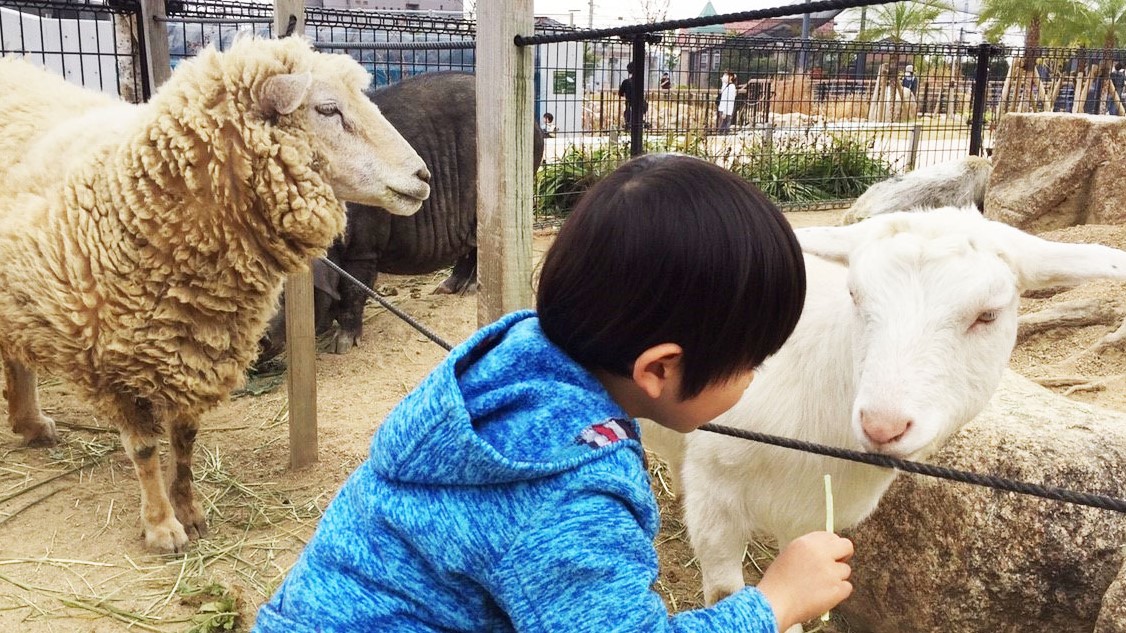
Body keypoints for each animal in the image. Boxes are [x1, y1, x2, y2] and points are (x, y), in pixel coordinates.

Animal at [0, 38, 430, 551]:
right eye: (327, 109)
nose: (423, 176)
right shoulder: (111, 363)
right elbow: (144, 449)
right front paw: (162, 526)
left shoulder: (198, 346)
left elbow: (185, 441)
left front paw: (190, 511)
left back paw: (30, 423)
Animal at [260, 72, 549, 360]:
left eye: (282, 291)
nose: (261, 340)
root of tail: (535, 127)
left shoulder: (364, 248)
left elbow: (354, 290)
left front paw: (341, 347)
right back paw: (445, 288)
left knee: (479, 248)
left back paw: (464, 291)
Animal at [639, 206, 1126, 608]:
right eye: (855, 294)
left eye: (988, 315)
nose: (882, 425)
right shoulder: (715, 494)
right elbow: (725, 591)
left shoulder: (810, 513)